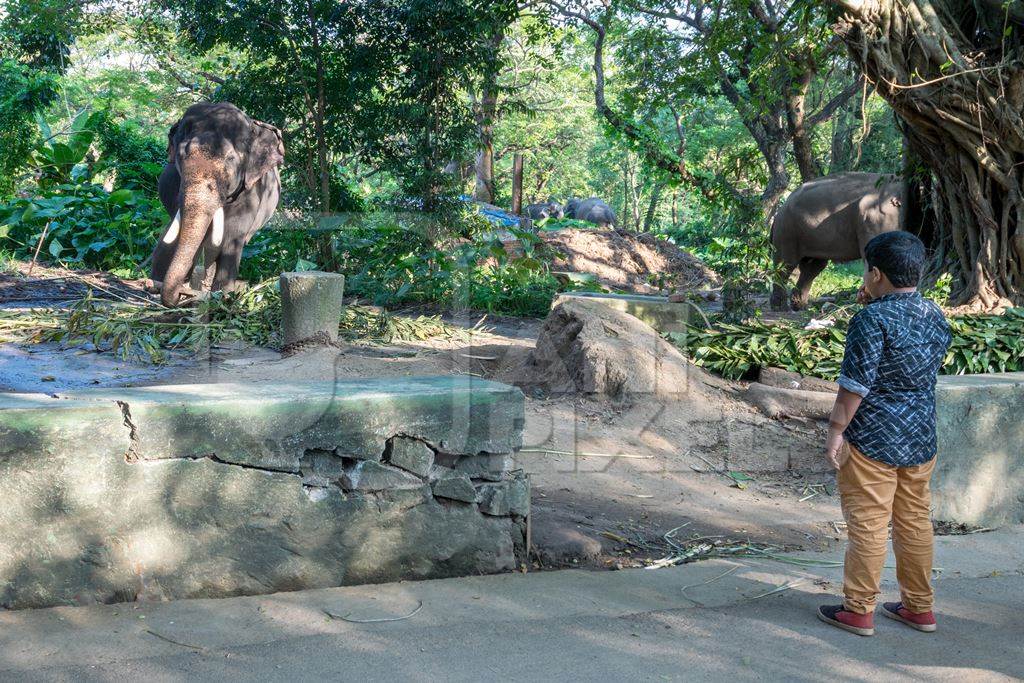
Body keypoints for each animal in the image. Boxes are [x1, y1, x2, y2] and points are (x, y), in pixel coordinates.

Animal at [149, 101, 284, 307]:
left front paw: (223, 296)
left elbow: (233, 236)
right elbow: (178, 231)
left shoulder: (252, 193)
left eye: (231, 159)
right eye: (182, 155)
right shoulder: (173, 186)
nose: (183, 293)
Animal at [770, 172, 905, 311]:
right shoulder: (875, 219)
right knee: (785, 265)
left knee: (812, 267)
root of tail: (778, 212)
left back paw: (801, 306)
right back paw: (780, 307)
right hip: (787, 231)